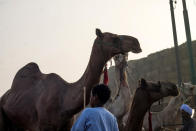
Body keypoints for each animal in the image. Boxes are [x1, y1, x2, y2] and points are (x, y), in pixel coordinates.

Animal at [0, 28, 141, 131]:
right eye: (114, 37)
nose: (137, 43)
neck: (65, 102)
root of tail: (4, 96)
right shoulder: (43, 127)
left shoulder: (67, 126)